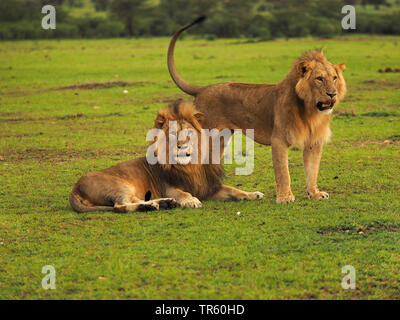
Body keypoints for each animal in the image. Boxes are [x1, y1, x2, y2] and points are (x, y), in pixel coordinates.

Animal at [69, 101, 264, 214]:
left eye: (188, 133)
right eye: (172, 134)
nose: (181, 145)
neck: (191, 167)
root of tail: (74, 188)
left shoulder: (209, 188)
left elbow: (235, 190)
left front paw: (254, 194)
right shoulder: (168, 187)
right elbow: (182, 193)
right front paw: (191, 200)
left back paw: (164, 204)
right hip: (119, 186)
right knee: (120, 206)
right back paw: (151, 206)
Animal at [166, 16, 346, 202]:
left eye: (334, 78)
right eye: (319, 79)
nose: (332, 94)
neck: (310, 111)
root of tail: (203, 89)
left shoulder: (314, 141)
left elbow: (312, 170)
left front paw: (315, 193)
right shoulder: (279, 139)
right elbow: (283, 172)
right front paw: (285, 197)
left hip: (220, 139)